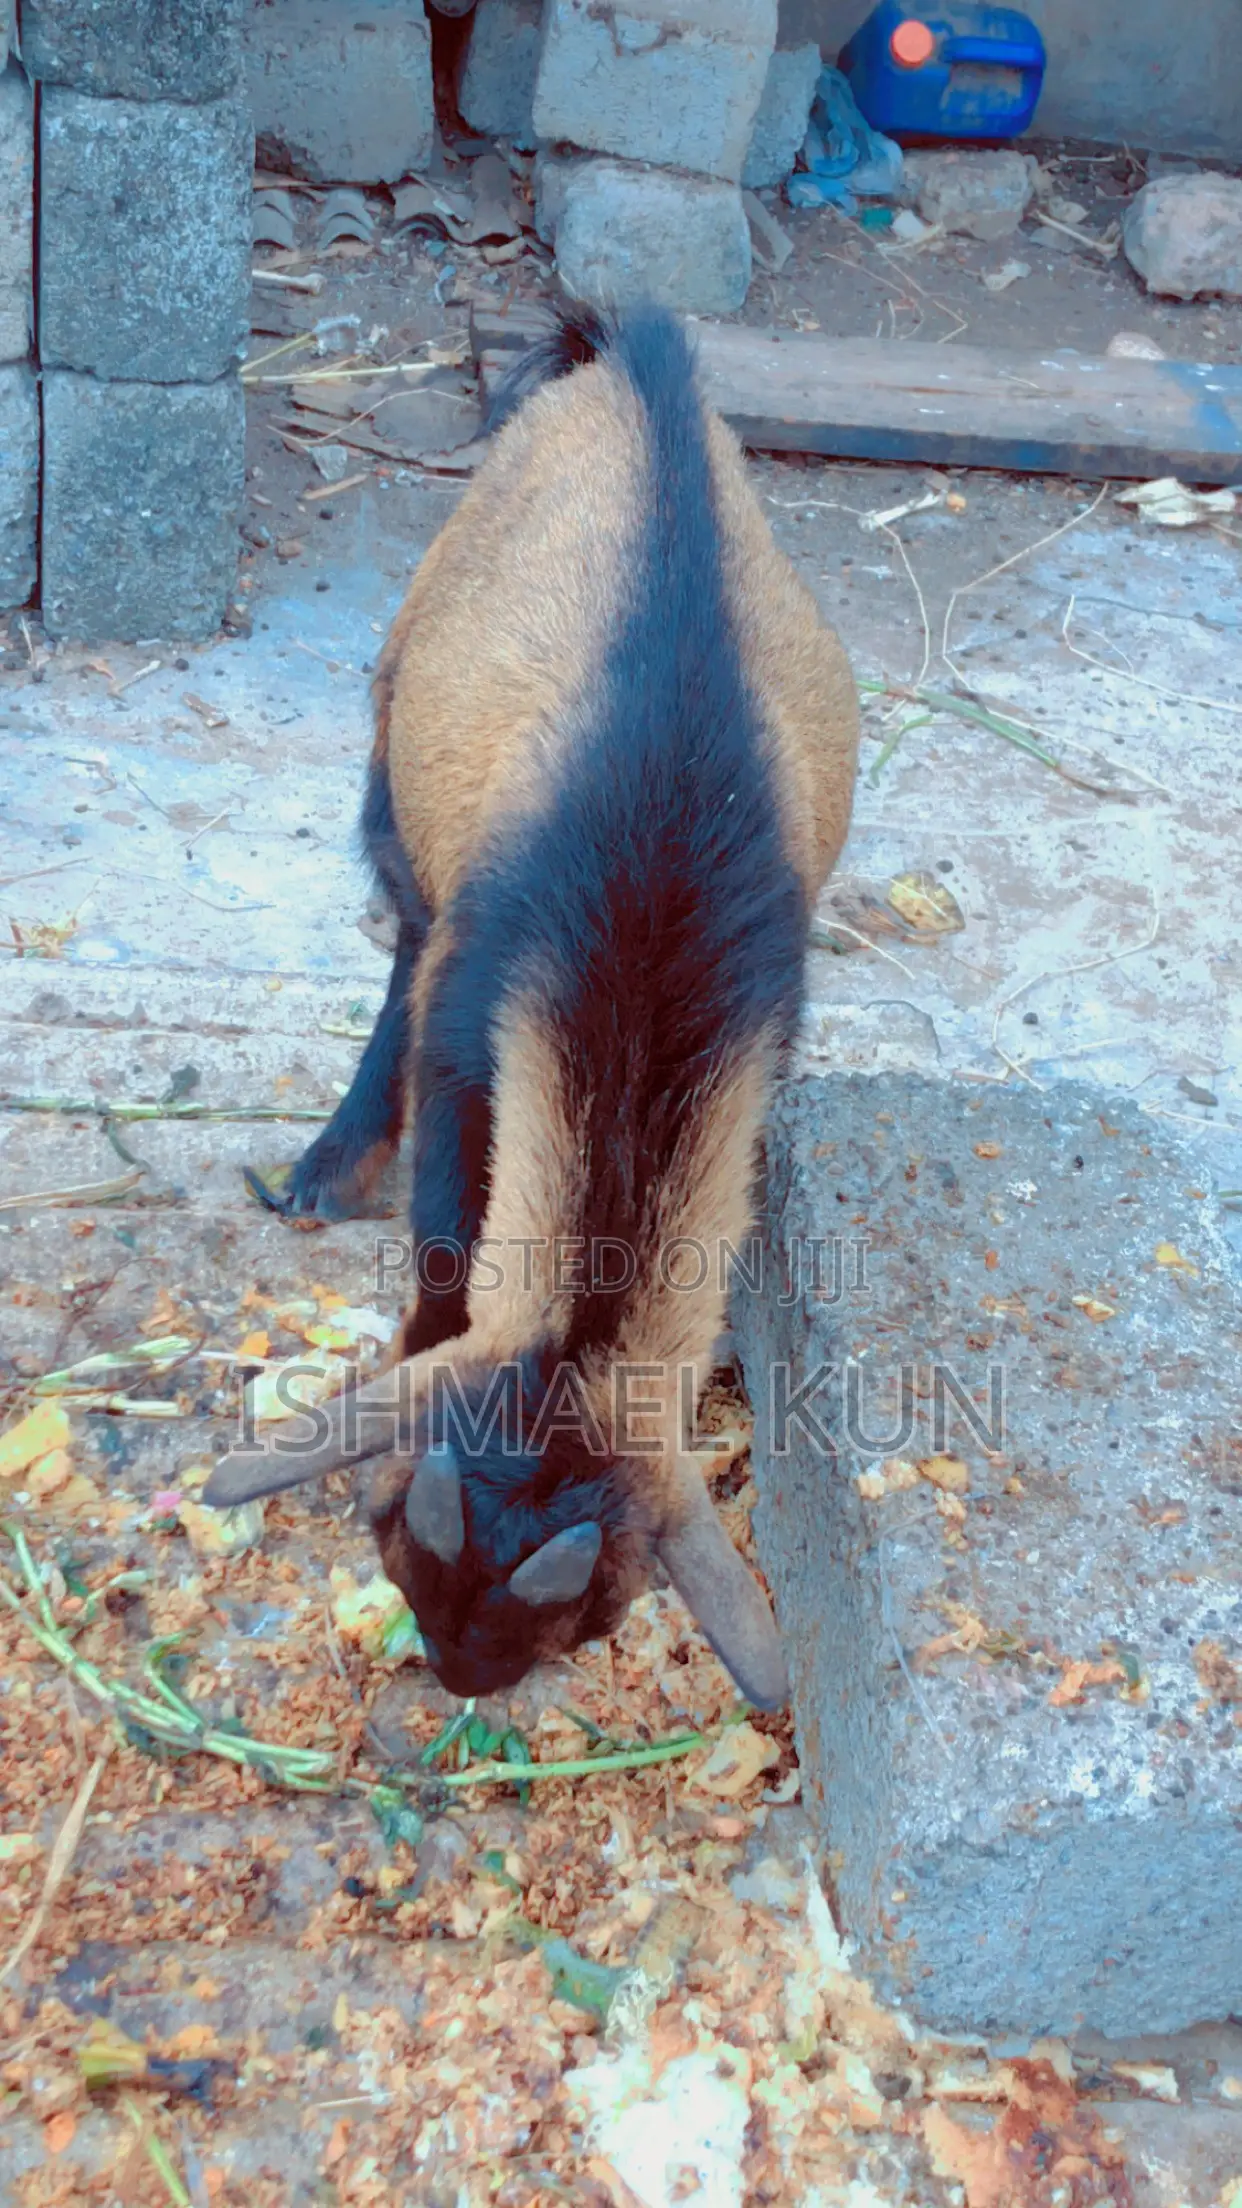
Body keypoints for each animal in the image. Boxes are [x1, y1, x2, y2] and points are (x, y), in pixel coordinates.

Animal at [205, 305, 858, 1711]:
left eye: (591, 1618)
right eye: (391, 1538)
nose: (455, 1678)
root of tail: (629, 348)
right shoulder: (479, 1004)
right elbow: (448, 1226)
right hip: (399, 738)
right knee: (400, 928)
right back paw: (329, 1161)